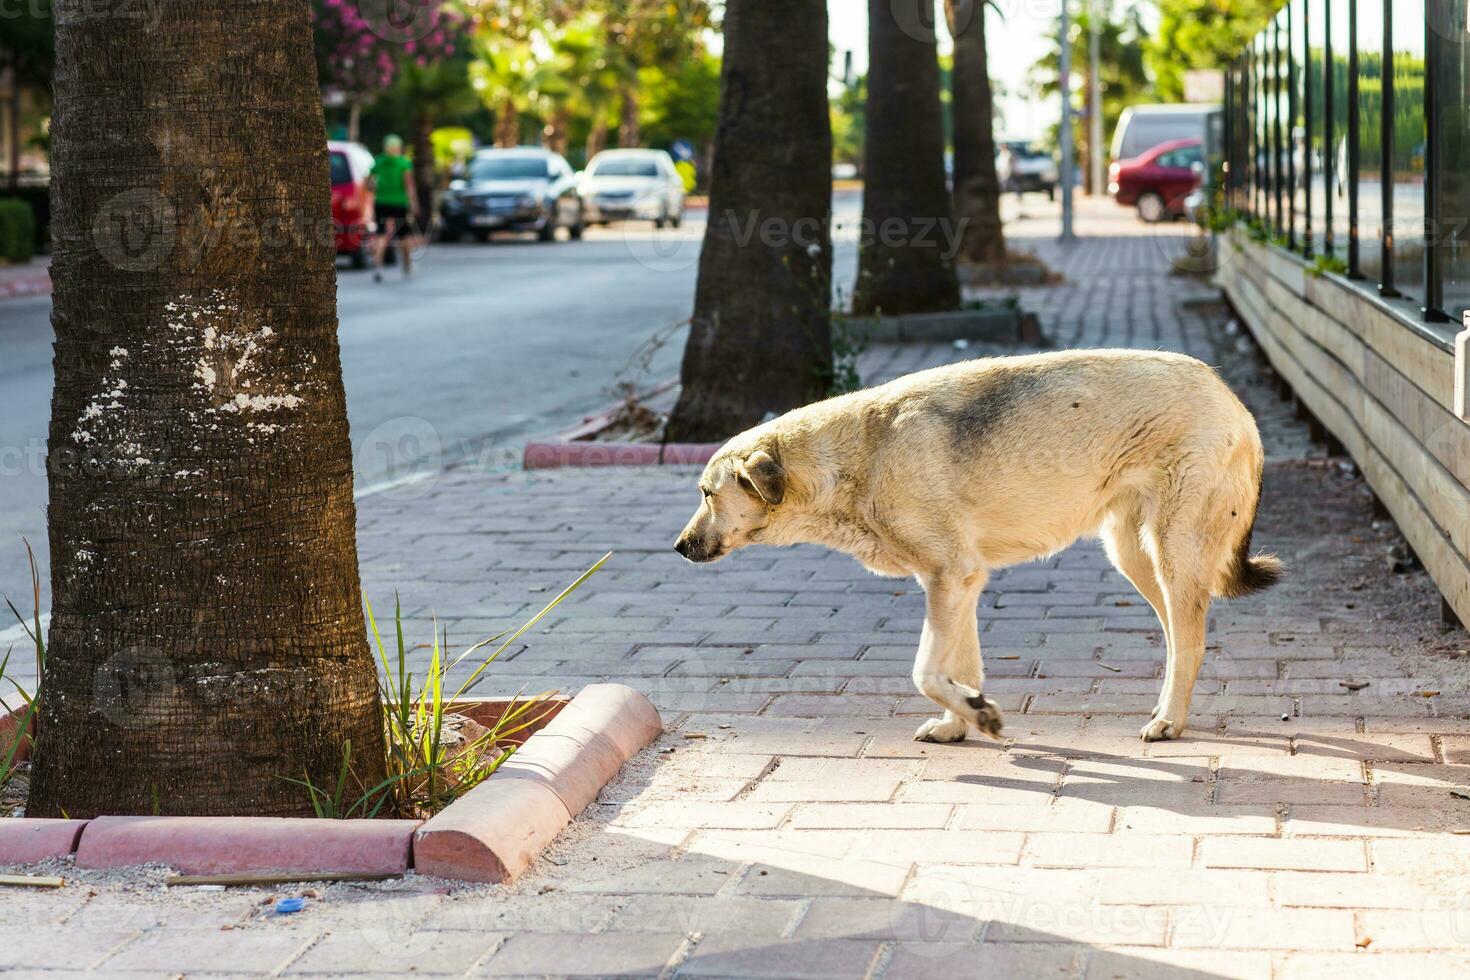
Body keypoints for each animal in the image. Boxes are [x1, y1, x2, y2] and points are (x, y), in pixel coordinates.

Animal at [673, 352, 1281, 743]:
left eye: (707, 494)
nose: (678, 547)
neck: (859, 459)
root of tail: (1233, 399)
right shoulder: (955, 583)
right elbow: (959, 668)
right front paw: (959, 721)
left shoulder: (951, 577)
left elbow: (925, 672)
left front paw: (977, 717)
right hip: (1134, 557)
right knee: (1181, 638)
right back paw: (1167, 708)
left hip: (1171, 555)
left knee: (1191, 640)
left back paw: (1170, 721)